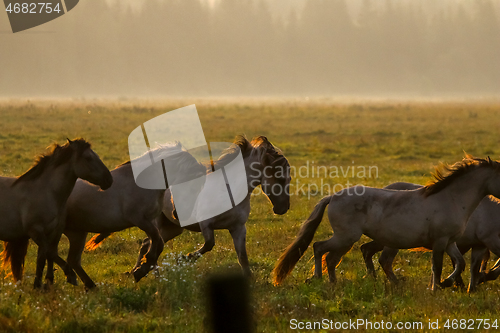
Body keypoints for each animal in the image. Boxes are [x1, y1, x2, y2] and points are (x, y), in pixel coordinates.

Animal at [0, 138, 111, 288]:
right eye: (88, 158)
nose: (109, 179)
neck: (45, 192)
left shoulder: (54, 231)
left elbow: (45, 256)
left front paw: (46, 283)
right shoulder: (36, 231)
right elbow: (48, 253)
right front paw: (68, 276)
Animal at [49, 141, 207, 288]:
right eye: (192, 187)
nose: (178, 215)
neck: (144, 183)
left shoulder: (150, 222)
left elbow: (157, 244)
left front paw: (141, 268)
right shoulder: (140, 220)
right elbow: (156, 242)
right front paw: (142, 269)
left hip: (77, 233)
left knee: (69, 259)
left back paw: (86, 284)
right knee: (56, 255)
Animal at [362, 182, 500, 290]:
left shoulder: (478, 244)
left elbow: (470, 267)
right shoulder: (488, 241)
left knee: (366, 249)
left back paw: (372, 277)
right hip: (391, 241)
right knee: (379, 257)